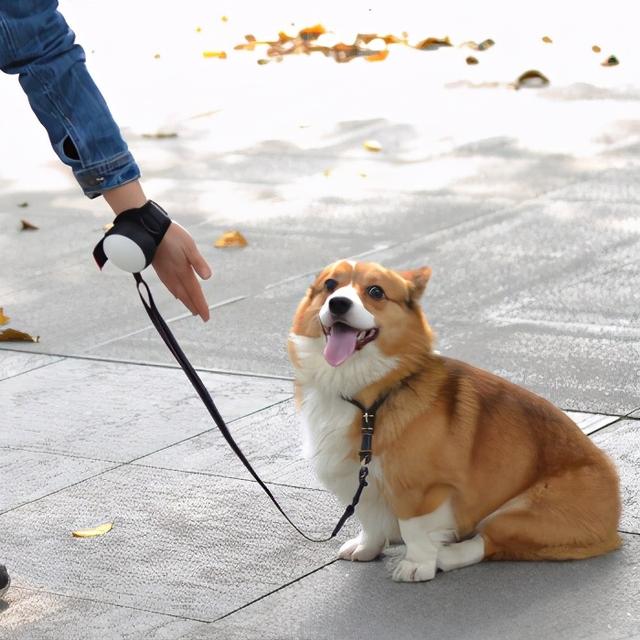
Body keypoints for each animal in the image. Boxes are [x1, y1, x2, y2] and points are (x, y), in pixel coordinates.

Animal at [288, 258, 620, 580]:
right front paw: (367, 548)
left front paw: (417, 565)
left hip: (523, 511)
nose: (338, 304)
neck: (371, 396)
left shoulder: (422, 489)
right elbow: (370, 518)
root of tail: (614, 521)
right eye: (330, 285)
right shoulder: (362, 480)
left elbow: (414, 528)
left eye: (375, 292)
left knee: (487, 541)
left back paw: (446, 556)